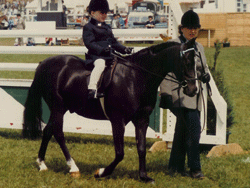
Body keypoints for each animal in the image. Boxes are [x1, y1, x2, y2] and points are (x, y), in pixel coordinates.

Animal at [23, 39, 197, 183]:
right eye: (187, 61)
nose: (193, 90)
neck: (135, 77)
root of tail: (45, 63)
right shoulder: (118, 121)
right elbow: (120, 153)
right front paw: (101, 172)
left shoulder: (142, 119)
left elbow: (141, 148)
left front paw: (144, 177)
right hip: (58, 107)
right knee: (58, 133)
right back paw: (73, 168)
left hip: (59, 109)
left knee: (48, 131)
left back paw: (42, 164)